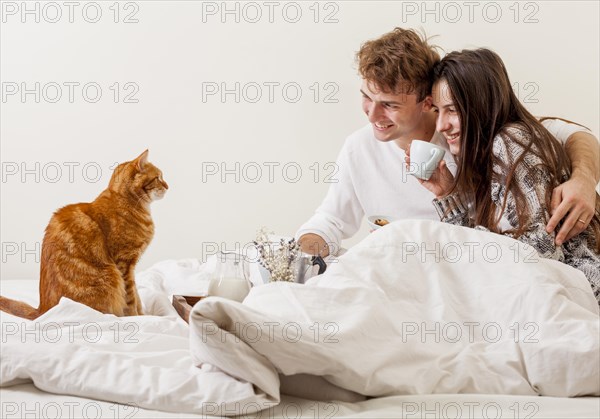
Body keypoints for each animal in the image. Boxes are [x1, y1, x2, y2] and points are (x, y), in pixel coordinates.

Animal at [0, 150, 168, 318]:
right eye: (158, 177)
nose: (168, 186)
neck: (128, 202)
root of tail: (42, 310)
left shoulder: (131, 267)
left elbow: (137, 296)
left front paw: (145, 315)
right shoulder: (124, 264)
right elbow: (131, 298)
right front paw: (136, 317)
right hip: (110, 277)